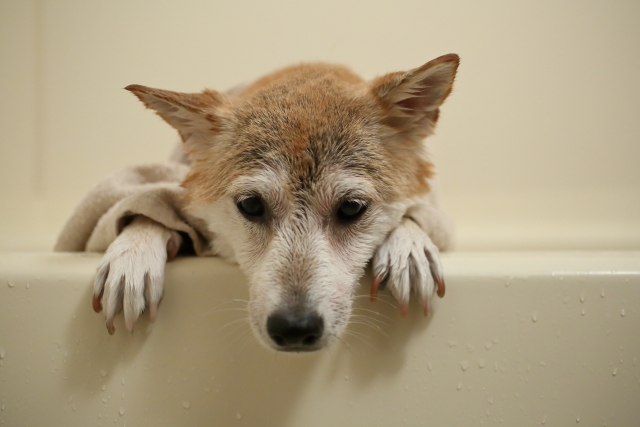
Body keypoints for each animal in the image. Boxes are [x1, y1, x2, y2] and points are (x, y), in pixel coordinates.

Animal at [92, 54, 458, 354]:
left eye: (352, 208)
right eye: (252, 205)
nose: (295, 328)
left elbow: (413, 215)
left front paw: (408, 248)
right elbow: (150, 201)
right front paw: (132, 256)